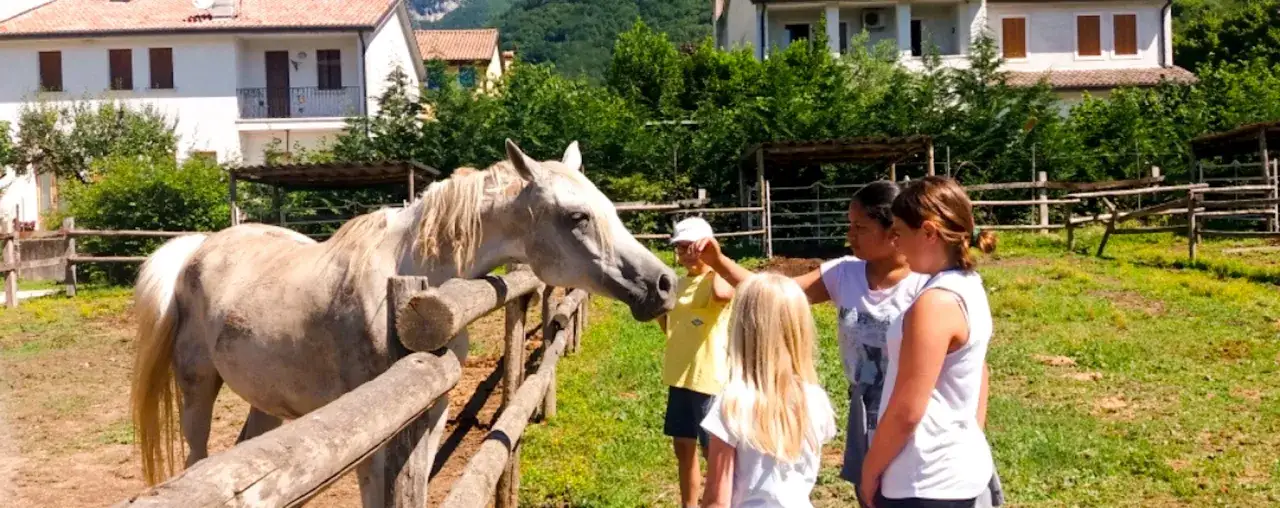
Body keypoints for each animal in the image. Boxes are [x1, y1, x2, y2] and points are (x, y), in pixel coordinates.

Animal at [129, 139, 676, 505]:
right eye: (577, 217)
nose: (664, 284)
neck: (413, 280)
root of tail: (198, 248)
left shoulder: (430, 413)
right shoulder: (374, 432)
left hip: (266, 398)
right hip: (197, 388)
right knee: (198, 457)